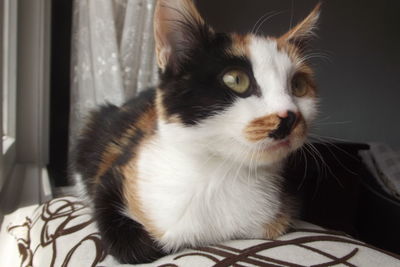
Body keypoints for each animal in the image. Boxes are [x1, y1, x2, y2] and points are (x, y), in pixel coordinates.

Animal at [71, 0, 322, 264]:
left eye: (298, 85)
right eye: (236, 79)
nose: (290, 116)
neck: (221, 173)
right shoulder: (116, 172)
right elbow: (135, 242)